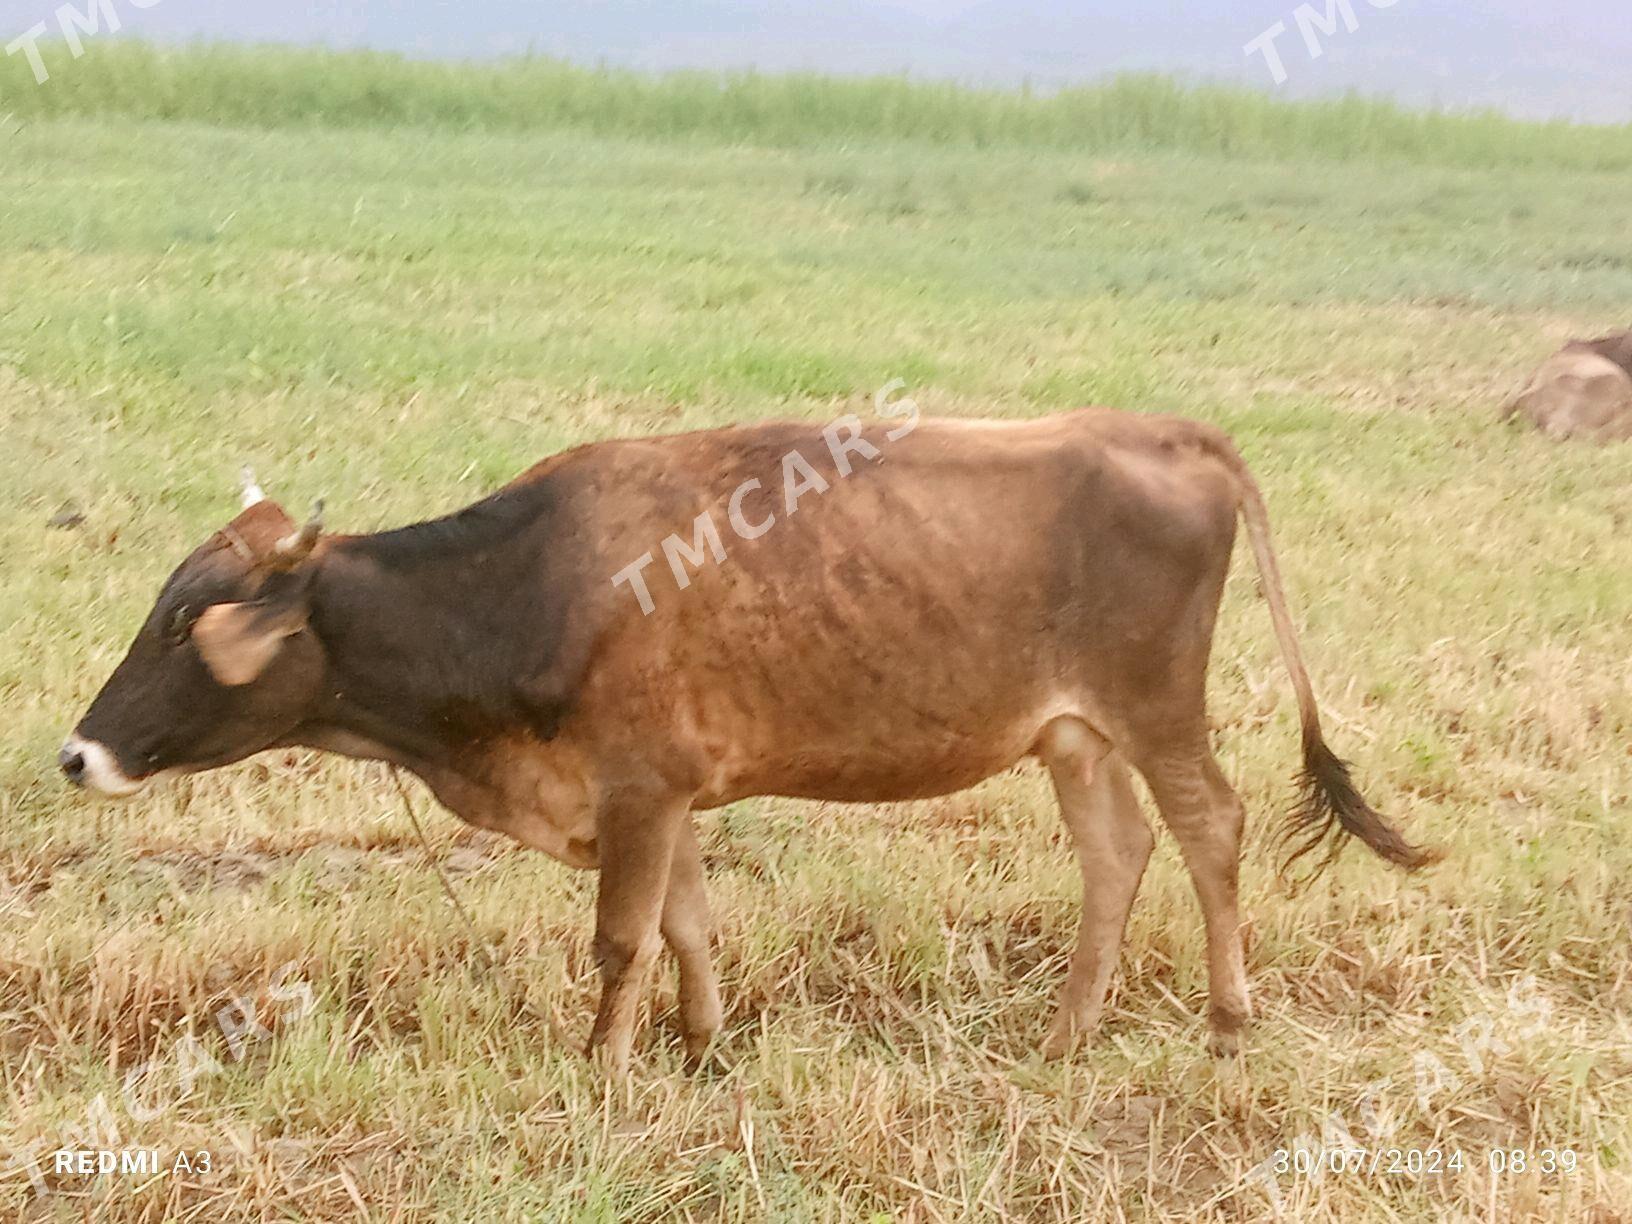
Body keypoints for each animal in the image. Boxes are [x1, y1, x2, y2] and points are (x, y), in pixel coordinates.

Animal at [57, 409, 1436, 1070]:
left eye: (183, 623)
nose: (76, 755)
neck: (524, 588)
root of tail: (1163, 429)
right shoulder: (662, 795)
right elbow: (687, 925)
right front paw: (701, 1045)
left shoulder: (636, 789)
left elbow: (621, 940)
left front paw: (602, 1070)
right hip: (1073, 734)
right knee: (1119, 854)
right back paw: (1066, 1034)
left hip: (1156, 711)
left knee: (1211, 828)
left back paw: (1227, 1023)